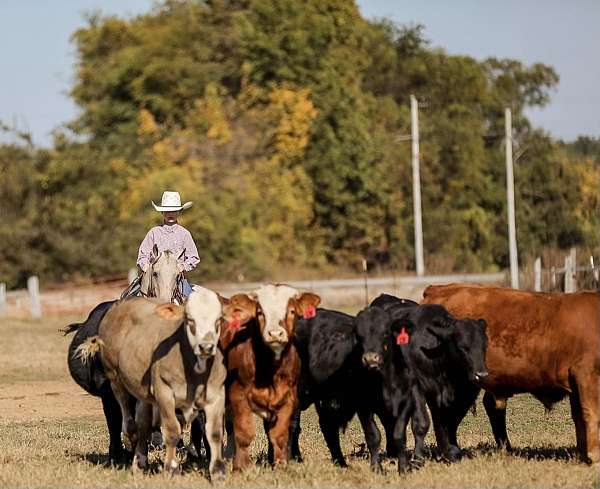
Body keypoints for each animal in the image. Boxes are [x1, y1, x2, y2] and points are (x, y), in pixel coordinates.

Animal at [220, 284, 322, 470]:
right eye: (260, 312)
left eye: (291, 311)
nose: (275, 334)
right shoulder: (239, 396)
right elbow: (244, 434)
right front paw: (242, 468)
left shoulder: (288, 399)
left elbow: (280, 435)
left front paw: (281, 466)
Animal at [422, 280, 600, 464]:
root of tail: (437, 289)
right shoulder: (587, 375)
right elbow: (591, 413)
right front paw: (594, 456)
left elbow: (579, 418)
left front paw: (582, 455)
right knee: (443, 417)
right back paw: (450, 455)